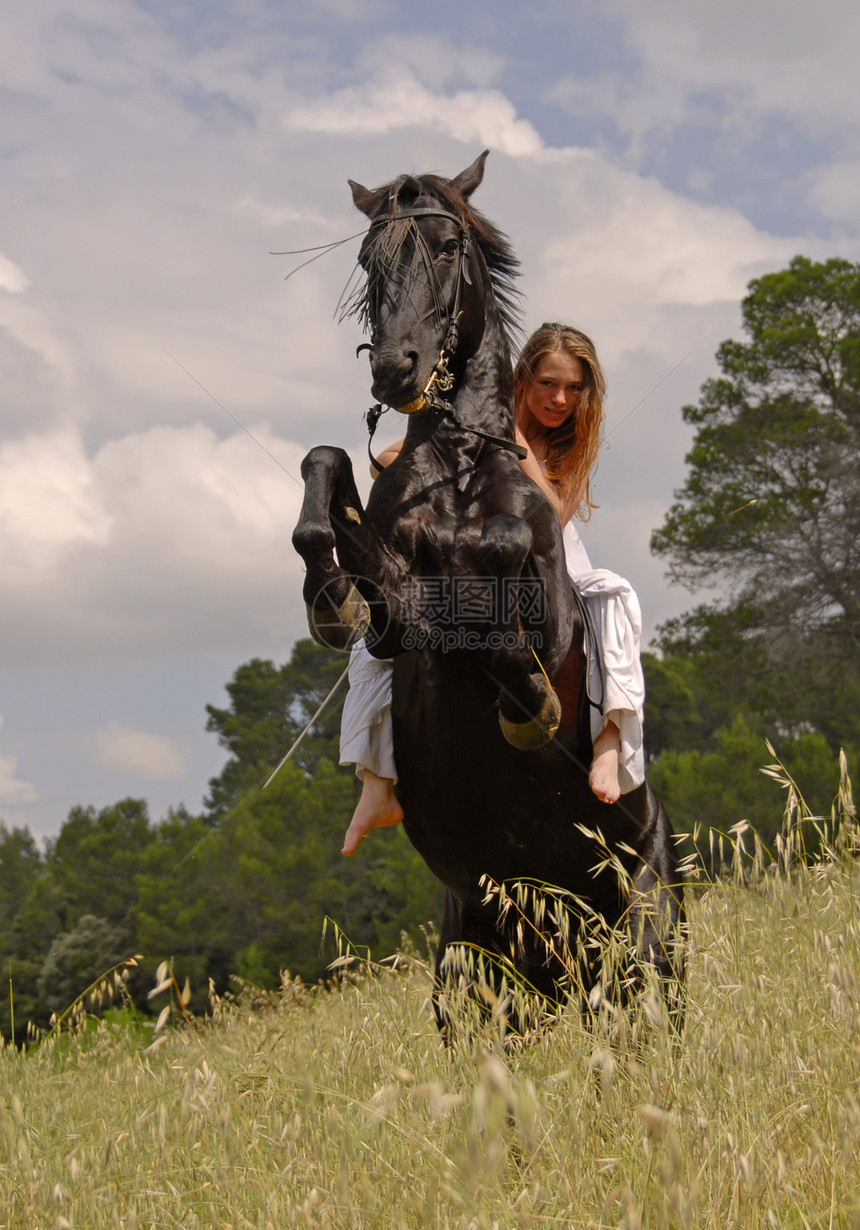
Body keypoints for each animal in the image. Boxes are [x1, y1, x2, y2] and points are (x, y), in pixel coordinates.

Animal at [292, 151, 684, 1038]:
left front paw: (526, 701)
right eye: (368, 257)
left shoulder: (553, 619)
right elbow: (329, 467)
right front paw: (329, 595)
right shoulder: (396, 602)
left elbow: (507, 574)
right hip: (473, 968)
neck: (463, 461)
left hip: (645, 942)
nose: (395, 368)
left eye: (444, 247)